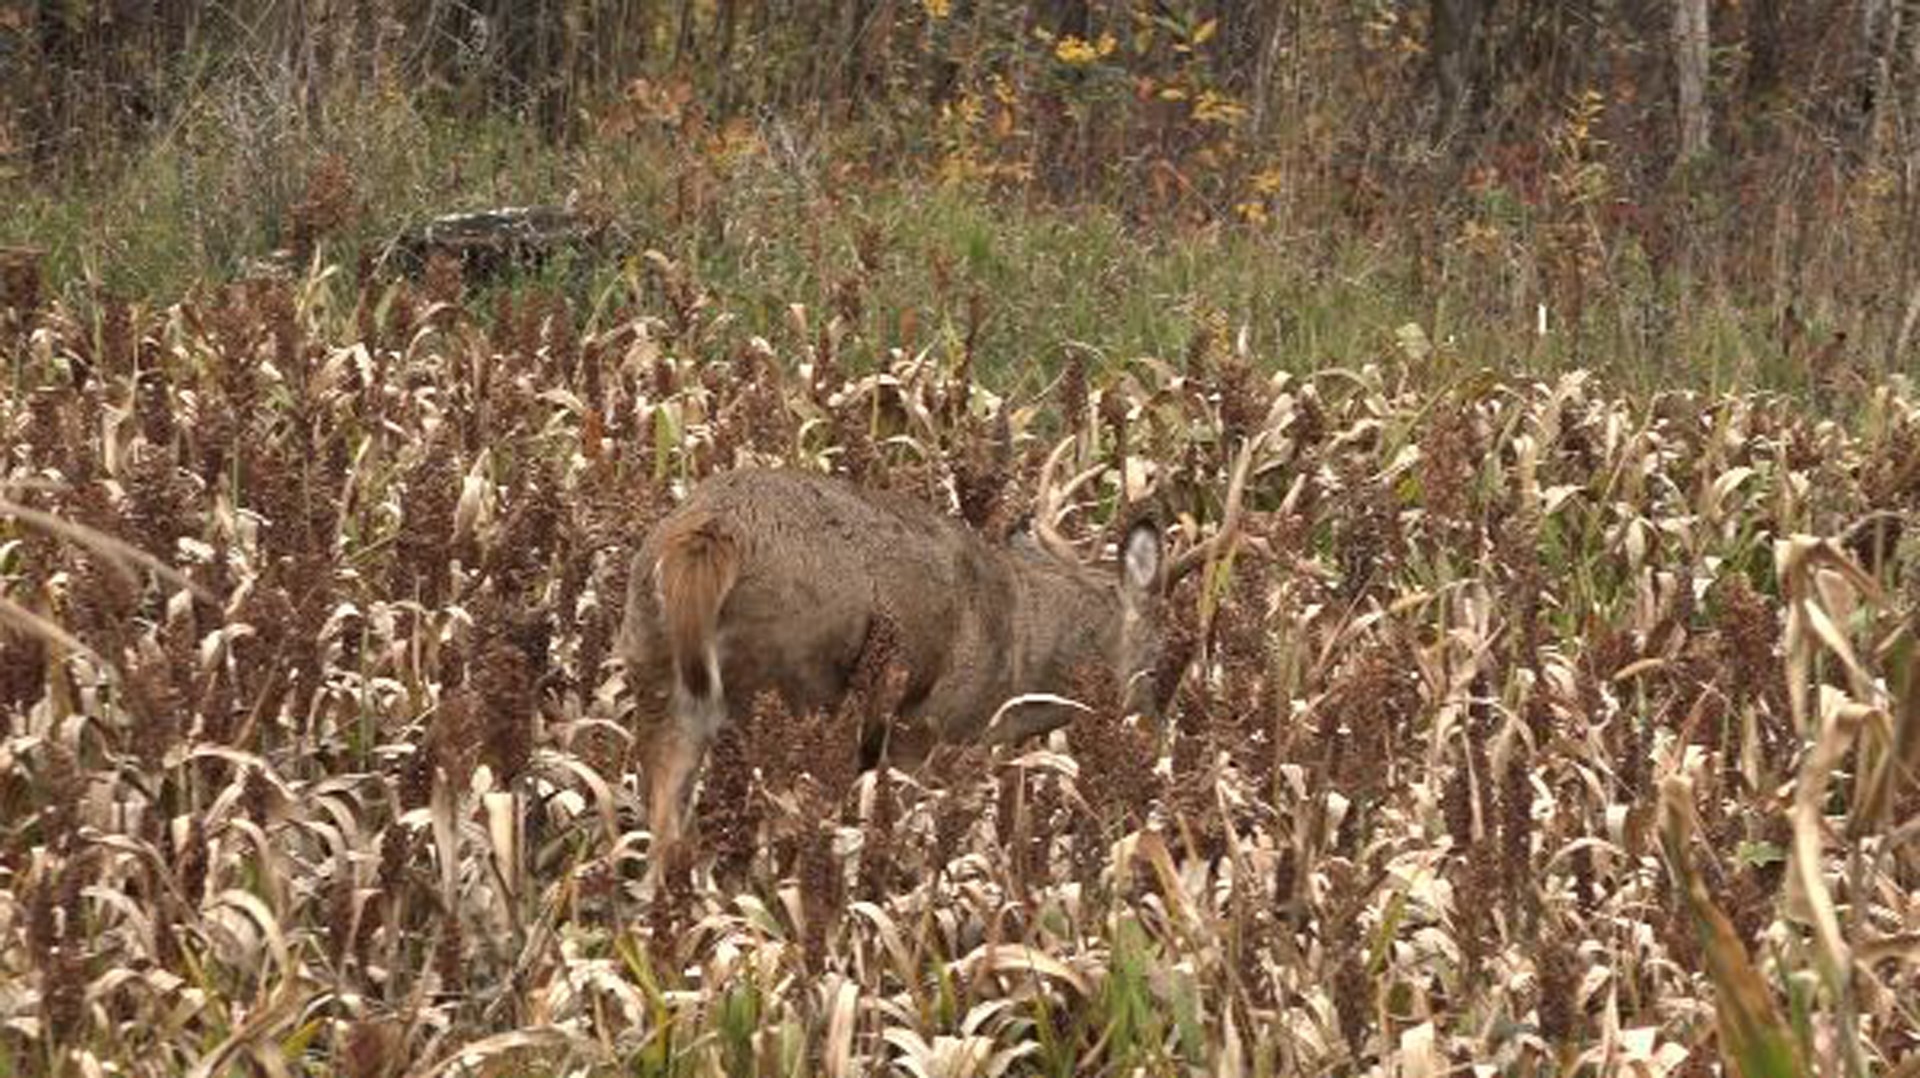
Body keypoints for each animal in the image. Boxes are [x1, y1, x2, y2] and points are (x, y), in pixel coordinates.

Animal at [617, 433, 1262, 865]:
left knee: (663, 833)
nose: (1161, 734)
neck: (1020, 652)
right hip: (793, 690)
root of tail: (705, 538)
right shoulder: (930, 733)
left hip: (654, 669)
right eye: (1161, 652)